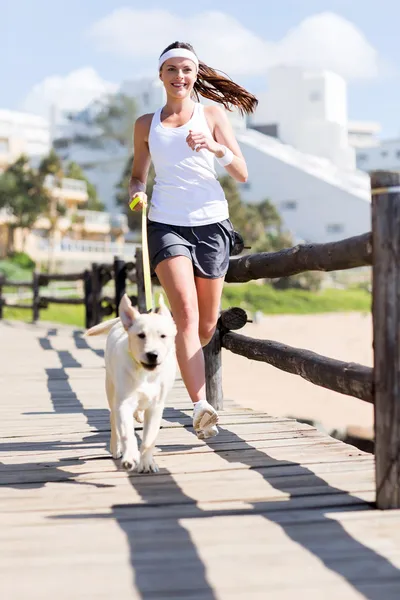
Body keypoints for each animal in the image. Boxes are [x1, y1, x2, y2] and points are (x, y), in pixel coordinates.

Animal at [86, 292, 177, 472]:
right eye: (141, 335)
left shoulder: (156, 407)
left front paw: (147, 463)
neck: (146, 374)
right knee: (113, 419)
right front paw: (130, 457)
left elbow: (149, 438)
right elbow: (127, 432)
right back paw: (116, 448)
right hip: (111, 388)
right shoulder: (124, 403)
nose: (152, 355)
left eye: (163, 336)